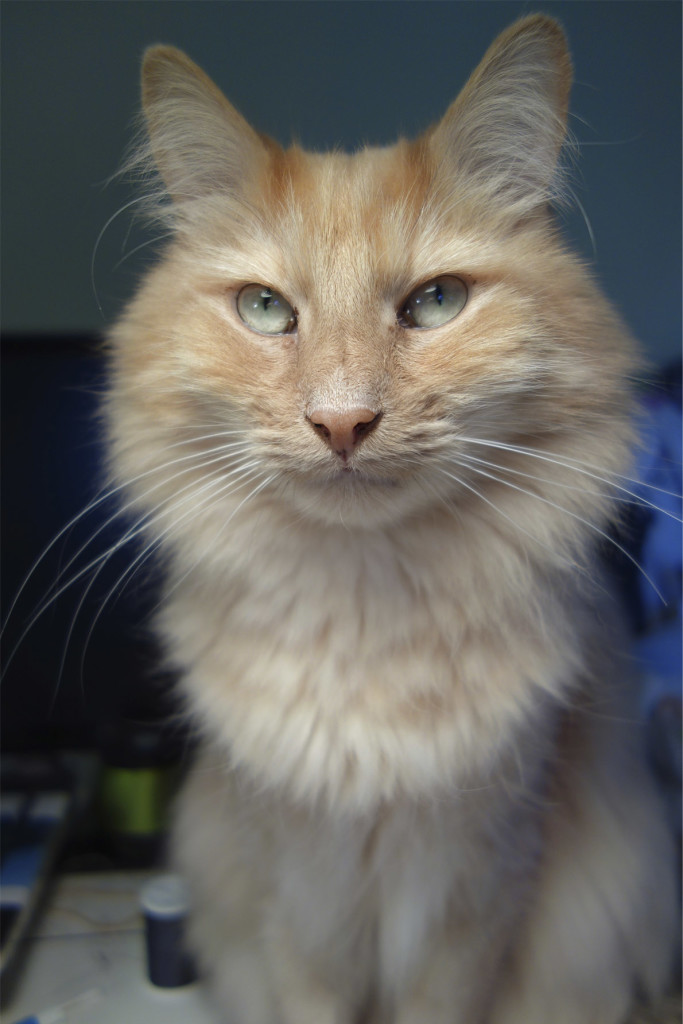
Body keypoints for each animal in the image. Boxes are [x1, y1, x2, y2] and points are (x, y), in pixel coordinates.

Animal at [105, 16, 679, 1024]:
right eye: (265, 309)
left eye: (436, 301)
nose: (342, 423)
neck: (363, 614)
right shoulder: (300, 896)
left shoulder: (472, 887)